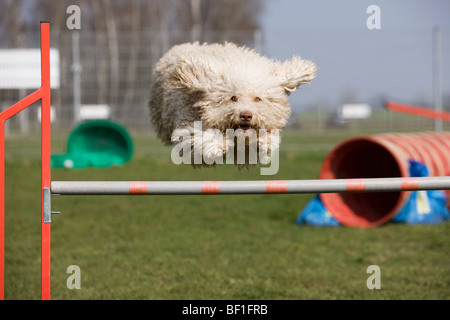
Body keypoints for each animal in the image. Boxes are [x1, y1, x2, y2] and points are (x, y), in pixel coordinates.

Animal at [149, 41, 316, 168]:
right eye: (233, 98)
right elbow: (200, 137)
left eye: (257, 99)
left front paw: (265, 142)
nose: (246, 115)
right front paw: (216, 145)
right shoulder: (189, 125)